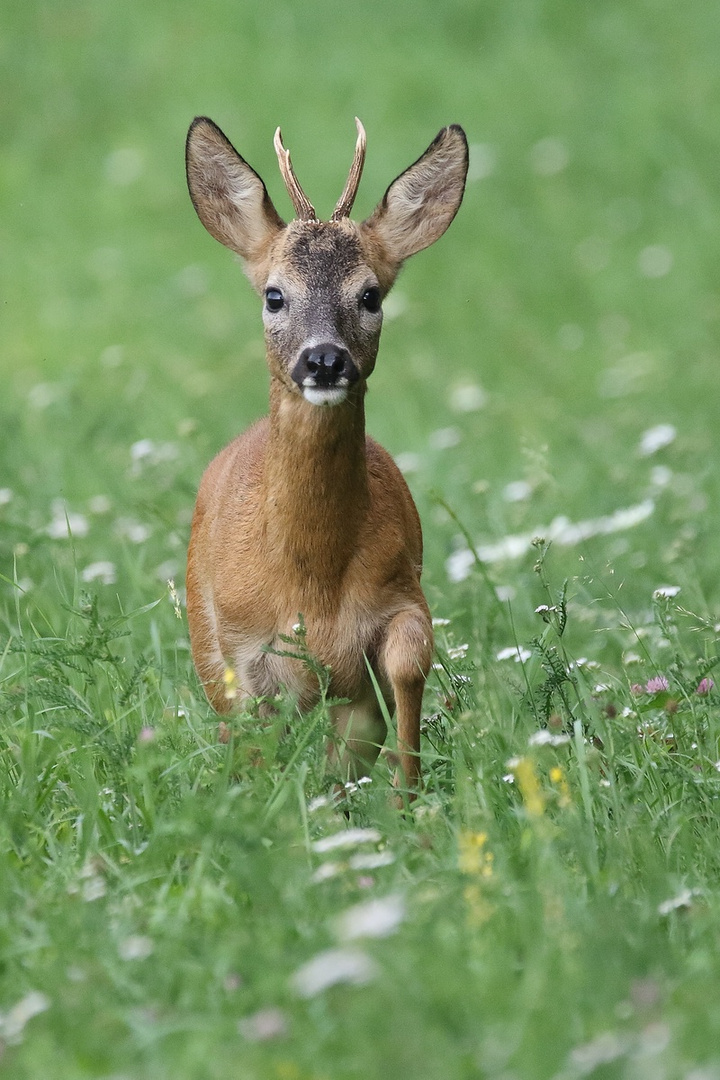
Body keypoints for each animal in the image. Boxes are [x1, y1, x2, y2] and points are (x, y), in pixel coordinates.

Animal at [185, 116, 468, 803]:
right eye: (273, 295)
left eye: (370, 295)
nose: (324, 360)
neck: (312, 584)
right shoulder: (238, 648)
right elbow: (257, 742)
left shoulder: (401, 595)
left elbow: (408, 663)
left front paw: (409, 796)